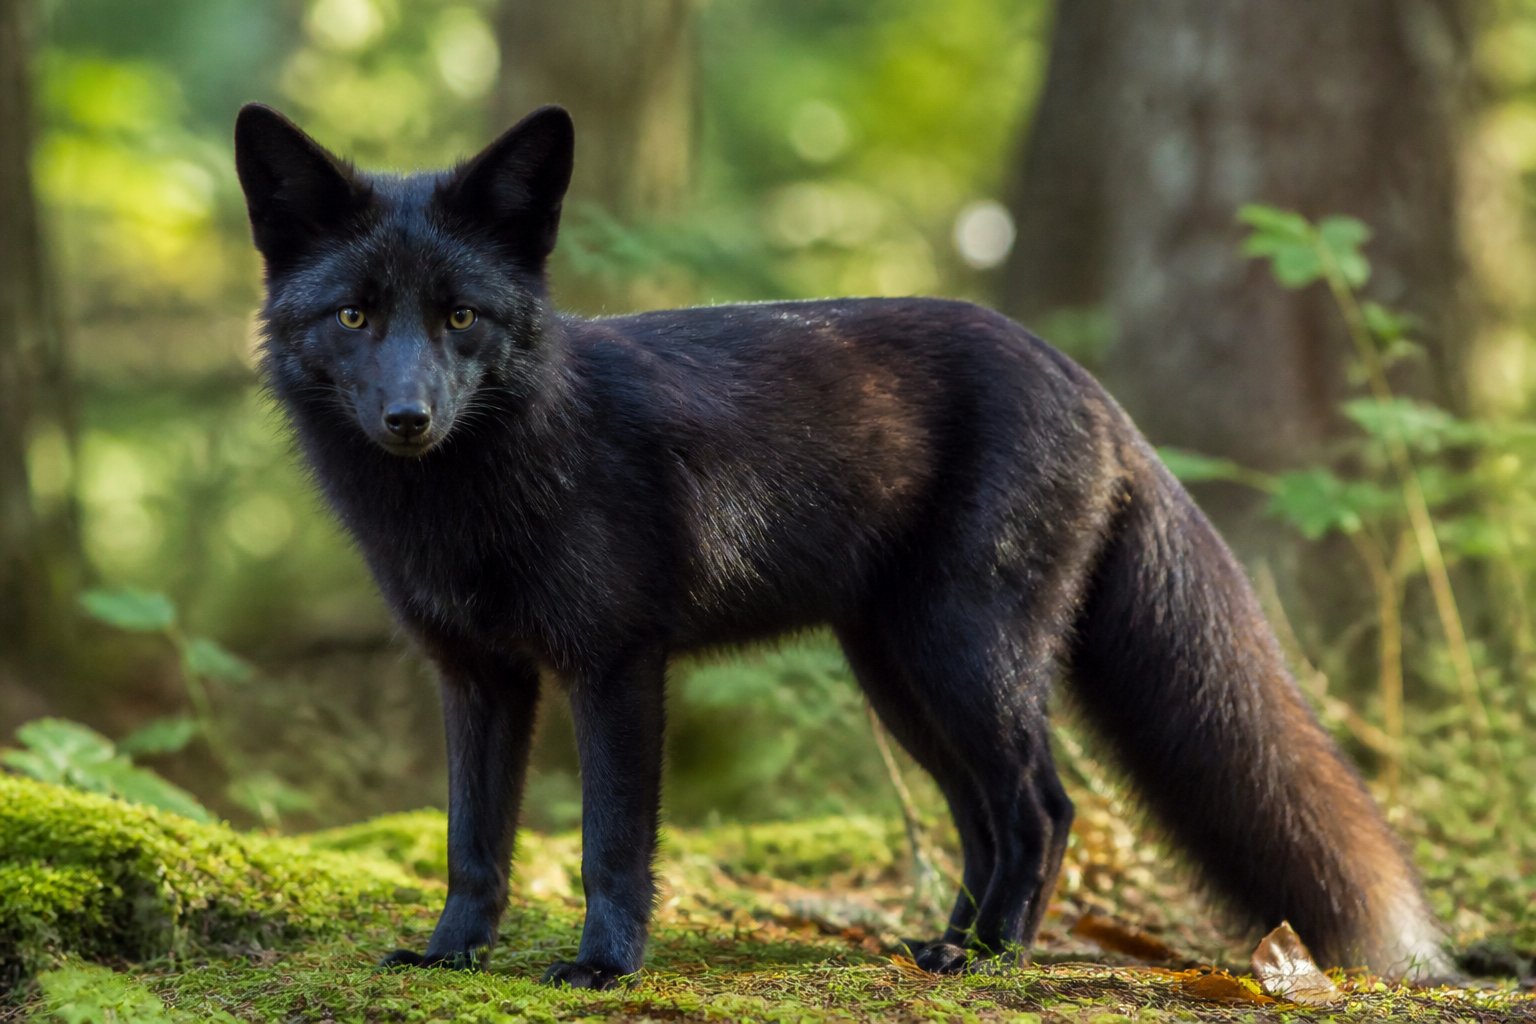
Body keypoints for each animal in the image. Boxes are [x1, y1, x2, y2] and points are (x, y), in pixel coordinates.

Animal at [233, 102, 1451, 989]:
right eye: (354, 316)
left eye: (461, 318)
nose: (408, 419)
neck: (477, 500)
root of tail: (1092, 390)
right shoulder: (479, 676)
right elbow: (472, 841)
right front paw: (452, 955)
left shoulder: (617, 662)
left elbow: (610, 843)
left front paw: (604, 968)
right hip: (900, 674)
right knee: (986, 820)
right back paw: (947, 942)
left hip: (966, 654)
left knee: (1044, 807)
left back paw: (990, 961)